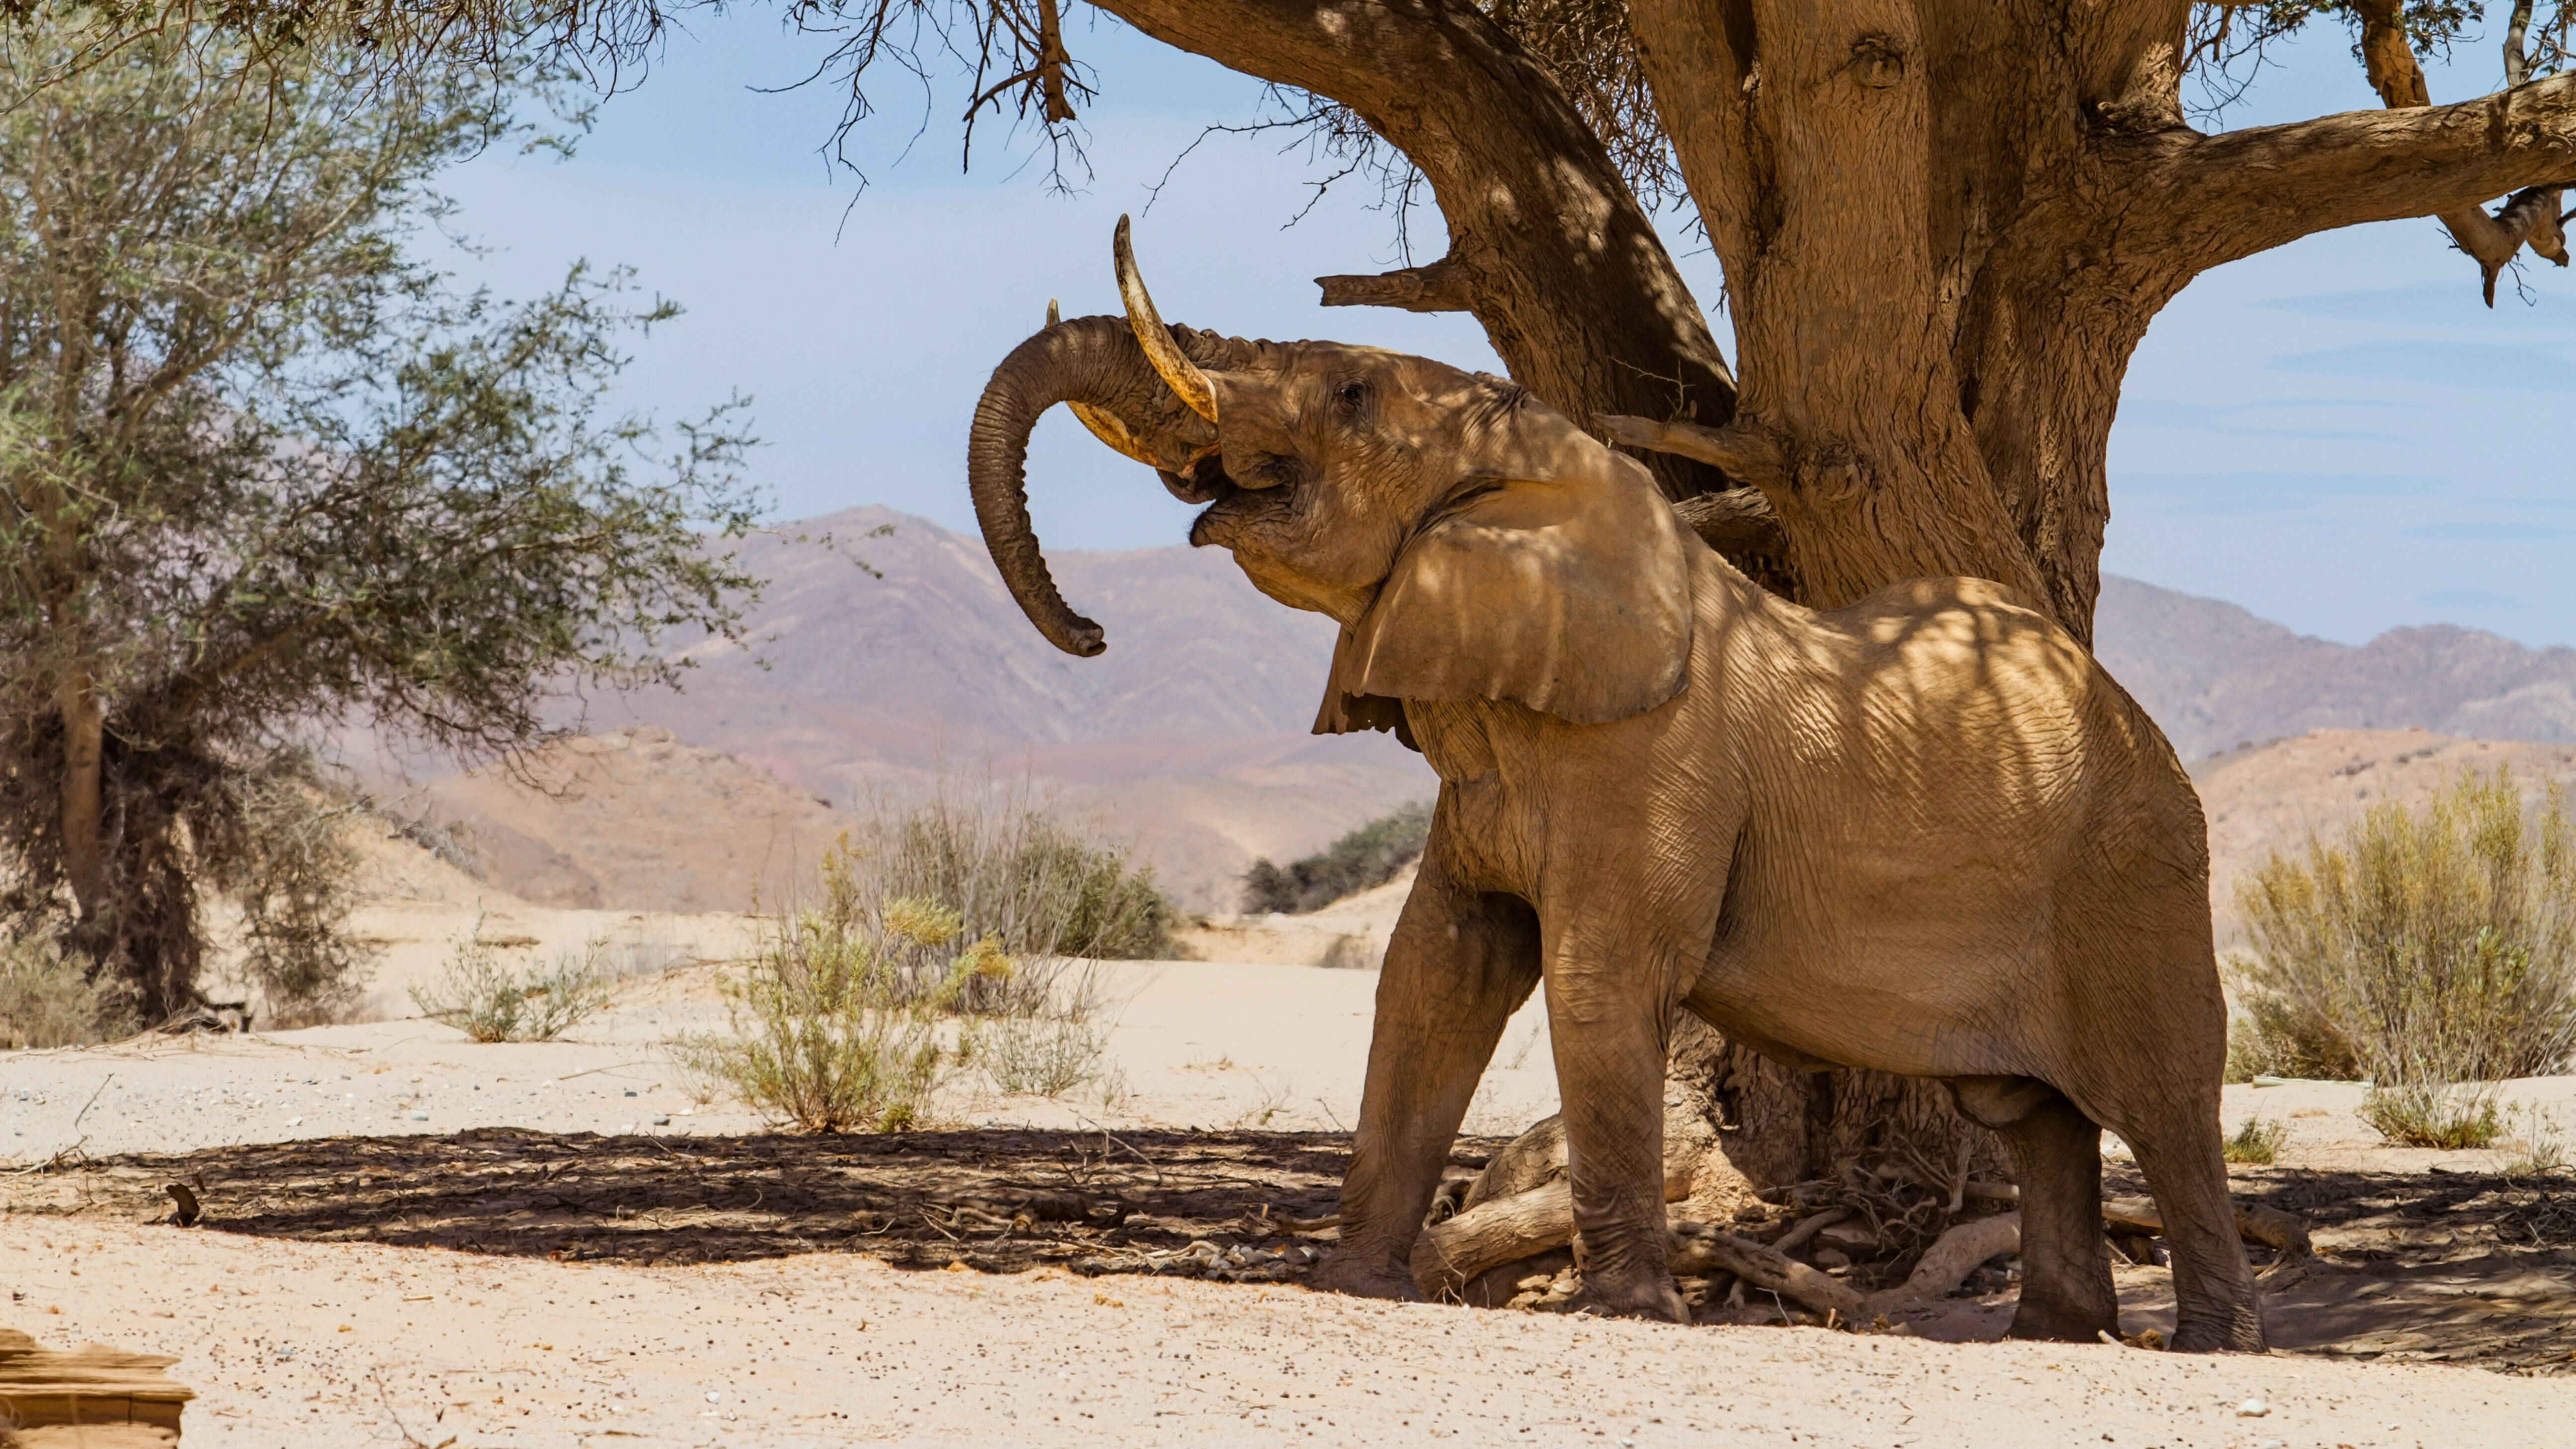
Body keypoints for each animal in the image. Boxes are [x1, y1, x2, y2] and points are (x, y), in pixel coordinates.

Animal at [963, 216, 2256, 1351]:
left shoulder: (1652, 756)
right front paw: (1359, 1287)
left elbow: (1600, 974)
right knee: (2035, 1118)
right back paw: (2057, 1332)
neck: (1563, 477)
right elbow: (1436, 970)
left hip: (2135, 871)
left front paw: (1624, 1310)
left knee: (2164, 1101)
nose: (1091, 635)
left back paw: (2206, 1343)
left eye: (1350, 396)